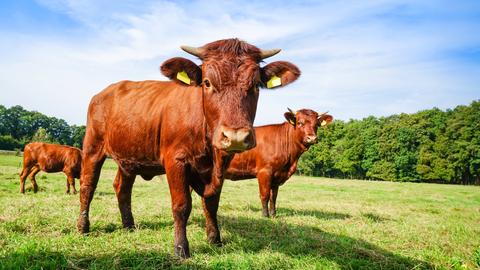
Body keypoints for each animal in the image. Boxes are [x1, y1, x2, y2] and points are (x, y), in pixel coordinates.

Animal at [76, 38, 300, 258]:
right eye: (207, 82)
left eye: (256, 85)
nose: (235, 137)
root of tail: (105, 92)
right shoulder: (176, 161)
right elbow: (182, 205)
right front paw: (181, 248)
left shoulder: (219, 167)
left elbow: (211, 204)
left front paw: (215, 239)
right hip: (93, 148)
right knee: (88, 185)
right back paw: (83, 227)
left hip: (128, 158)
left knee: (122, 188)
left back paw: (129, 226)